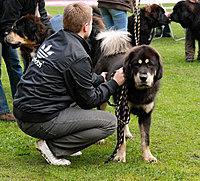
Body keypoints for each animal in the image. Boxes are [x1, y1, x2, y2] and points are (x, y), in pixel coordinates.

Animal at [94, 31, 162, 163]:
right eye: (136, 64)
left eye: (150, 64)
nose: (143, 77)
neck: (139, 91)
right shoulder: (121, 109)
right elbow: (121, 141)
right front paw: (120, 156)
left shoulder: (146, 115)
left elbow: (145, 139)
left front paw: (148, 156)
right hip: (105, 101)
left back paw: (127, 133)